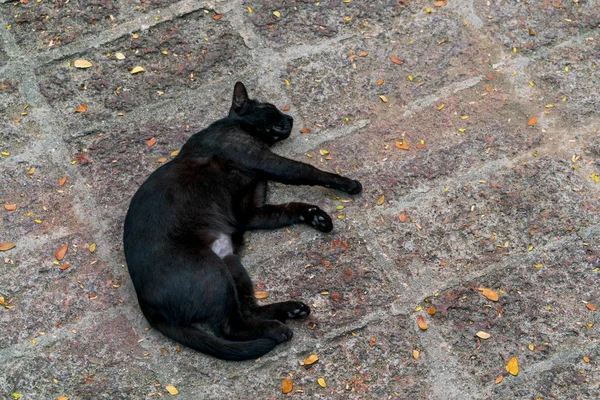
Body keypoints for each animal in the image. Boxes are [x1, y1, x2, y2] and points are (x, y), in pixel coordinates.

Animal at [123, 83, 360, 360]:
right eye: (269, 107)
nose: (290, 118)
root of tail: (146, 305)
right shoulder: (264, 161)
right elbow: (308, 171)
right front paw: (347, 183)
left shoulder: (250, 211)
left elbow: (289, 208)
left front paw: (316, 215)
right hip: (214, 273)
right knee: (228, 328)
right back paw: (277, 330)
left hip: (232, 267)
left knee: (247, 311)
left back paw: (291, 310)